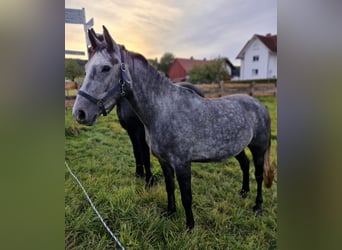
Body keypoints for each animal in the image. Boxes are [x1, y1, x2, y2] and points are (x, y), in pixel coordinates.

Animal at [73, 25, 276, 230]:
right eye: (86, 69)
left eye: (105, 68)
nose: (80, 113)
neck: (164, 110)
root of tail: (260, 106)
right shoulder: (164, 161)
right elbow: (169, 187)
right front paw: (170, 212)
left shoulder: (182, 163)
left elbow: (186, 196)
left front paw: (190, 226)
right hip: (237, 147)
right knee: (245, 164)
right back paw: (243, 192)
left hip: (258, 149)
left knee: (259, 175)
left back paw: (257, 206)